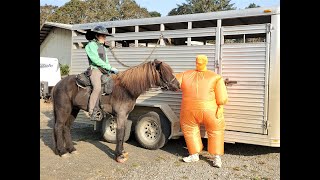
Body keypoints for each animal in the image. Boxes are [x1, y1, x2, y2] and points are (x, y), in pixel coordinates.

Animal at [52, 59, 180, 162]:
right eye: (165, 72)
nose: (178, 85)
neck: (126, 89)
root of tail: (58, 84)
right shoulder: (120, 115)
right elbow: (119, 133)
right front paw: (119, 155)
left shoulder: (125, 115)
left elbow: (123, 133)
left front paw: (122, 152)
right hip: (63, 109)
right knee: (58, 126)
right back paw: (63, 151)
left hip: (74, 110)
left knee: (66, 127)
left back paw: (71, 149)